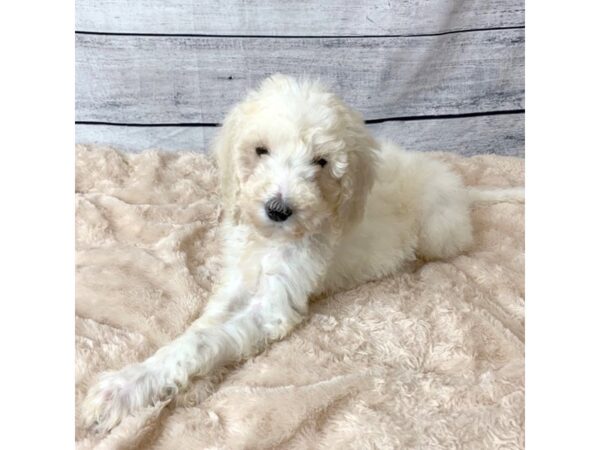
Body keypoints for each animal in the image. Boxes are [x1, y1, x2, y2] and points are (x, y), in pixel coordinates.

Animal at [82, 74, 524, 432]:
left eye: (321, 161)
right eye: (261, 150)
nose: (278, 209)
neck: (270, 240)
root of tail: (459, 187)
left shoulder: (275, 306)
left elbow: (207, 342)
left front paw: (124, 390)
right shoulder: (236, 282)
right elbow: (200, 331)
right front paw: (146, 381)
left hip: (439, 232)